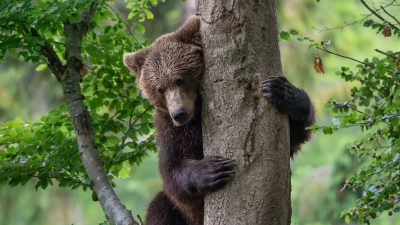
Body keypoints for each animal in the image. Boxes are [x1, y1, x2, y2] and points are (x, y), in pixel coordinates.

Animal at [123, 15, 314, 225]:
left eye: (180, 79)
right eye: (159, 89)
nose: (179, 113)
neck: (197, 111)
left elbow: (294, 138)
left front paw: (283, 92)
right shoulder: (170, 128)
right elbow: (171, 168)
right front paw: (213, 169)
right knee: (160, 208)